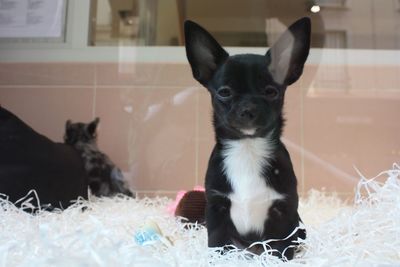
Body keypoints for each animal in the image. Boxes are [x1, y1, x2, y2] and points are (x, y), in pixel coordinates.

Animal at [184, 17, 312, 260]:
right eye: (224, 92)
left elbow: (282, 247)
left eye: (271, 92)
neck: (248, 148)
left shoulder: (284, 211)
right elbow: (217, 243)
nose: (248, 109)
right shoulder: (216, 208)